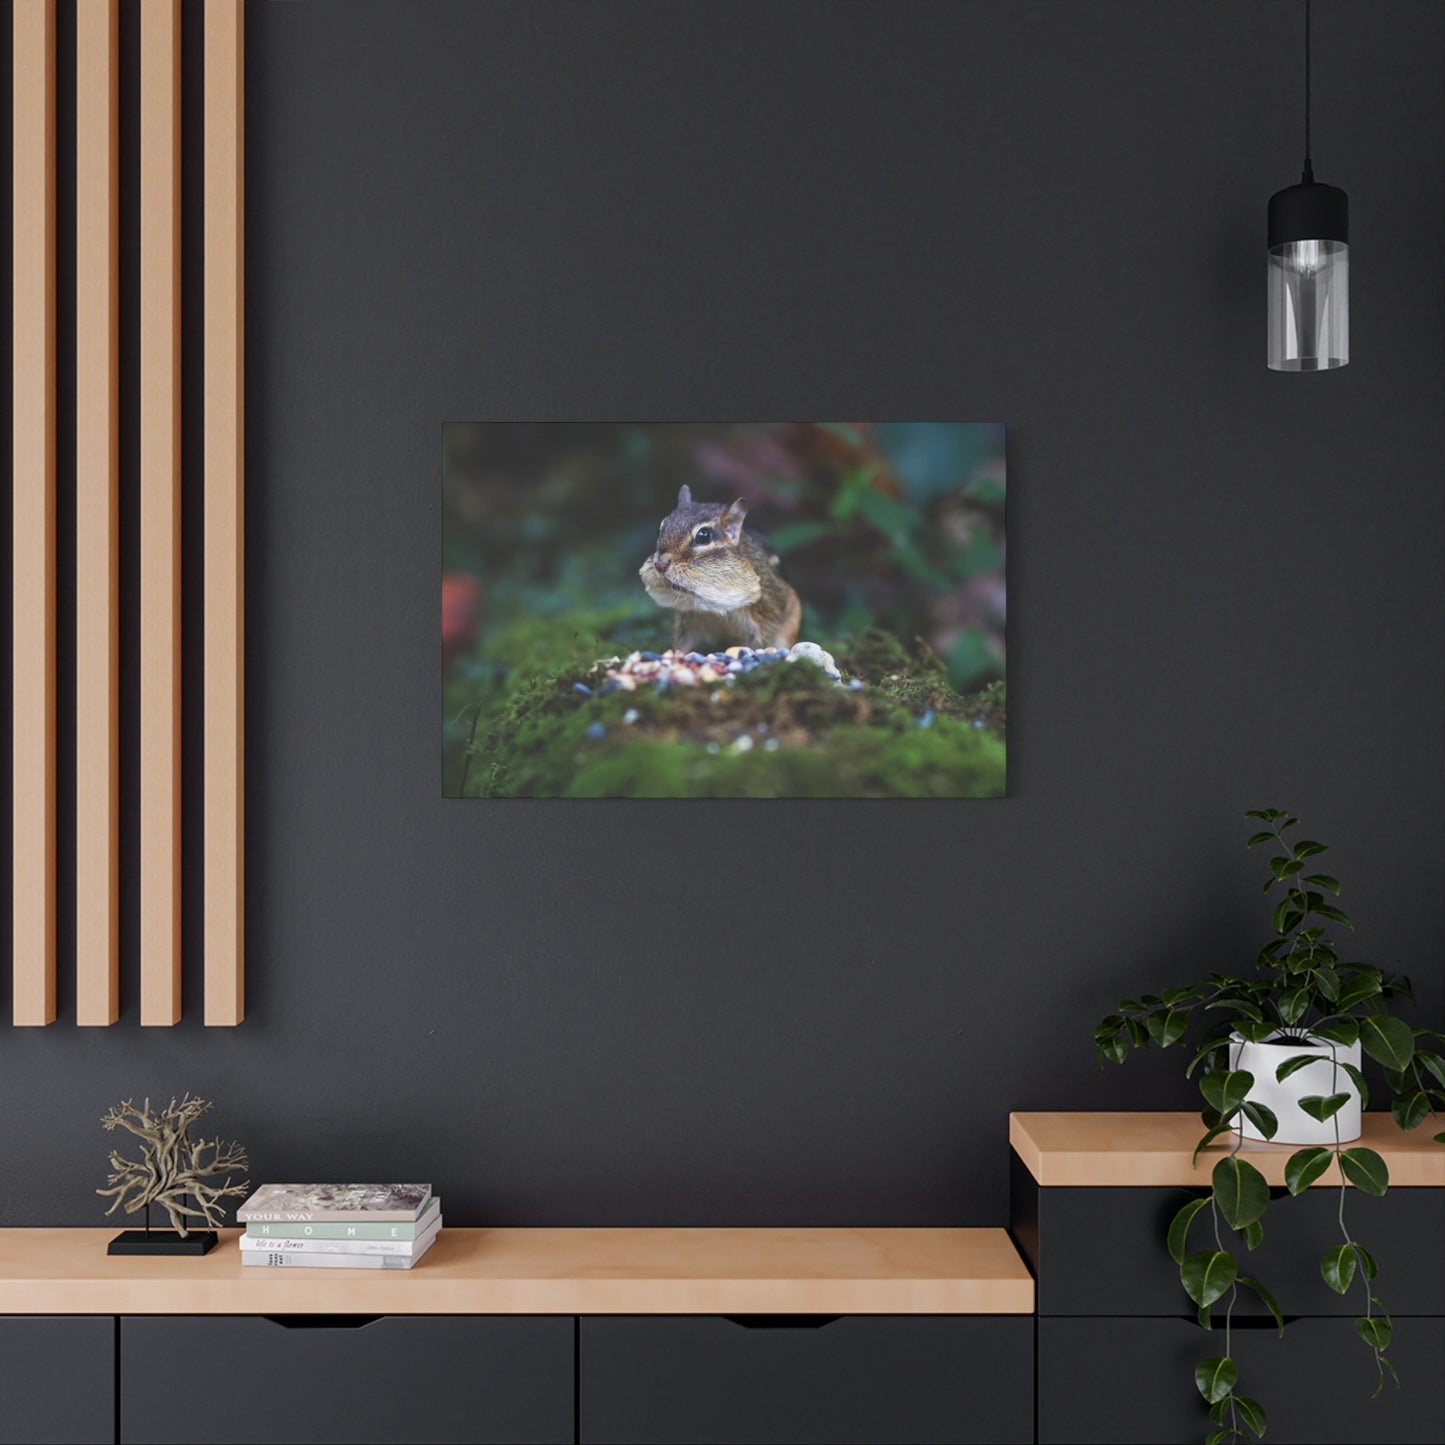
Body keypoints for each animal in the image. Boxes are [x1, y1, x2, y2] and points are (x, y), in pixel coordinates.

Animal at [639, 485, 802, 653]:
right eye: (659, 530)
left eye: (703, 536)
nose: (660, 565)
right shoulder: (687, 618)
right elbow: (682, 643)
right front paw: (675, 654)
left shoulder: (765, 615)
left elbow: (763, 641)